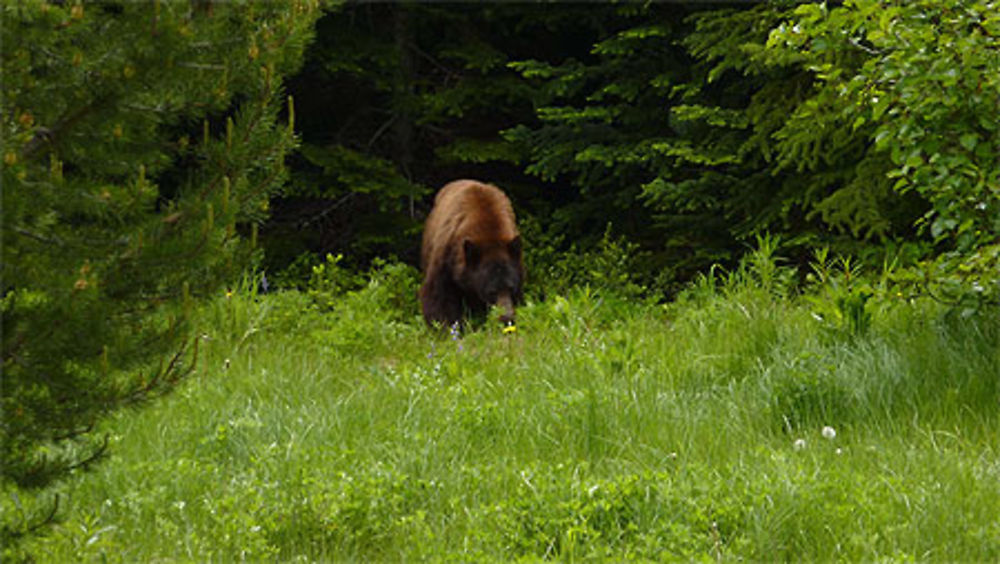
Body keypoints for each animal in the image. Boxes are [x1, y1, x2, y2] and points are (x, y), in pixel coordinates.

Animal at [420, 178, 524, 328]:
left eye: (511, 288)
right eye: (492, 292)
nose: (506, 318)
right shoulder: (446, 257)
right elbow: (438, 295)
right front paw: (446, 327)